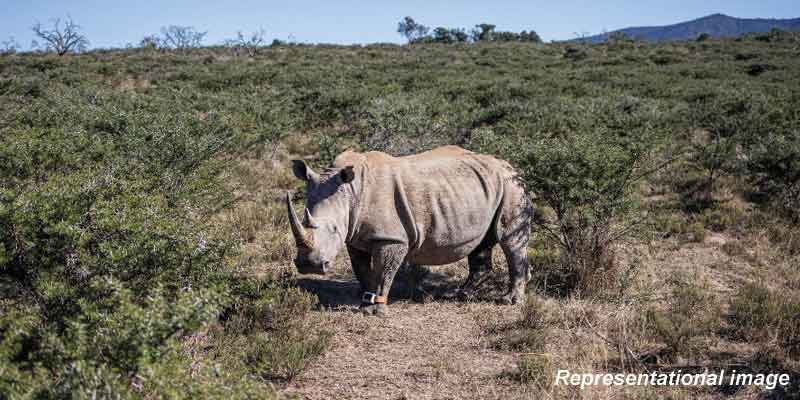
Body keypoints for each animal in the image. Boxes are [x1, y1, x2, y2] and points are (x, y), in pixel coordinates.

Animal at [286, 145, 532, 315]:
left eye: (335, 228)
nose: (309, 266)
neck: (350, 192)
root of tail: (511, 166)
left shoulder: (391, 238)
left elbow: (383, 273)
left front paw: (376, 311)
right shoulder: (354, 236)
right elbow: (363, 271)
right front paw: (365, 304)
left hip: (512, 186)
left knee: (510, 240)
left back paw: (509, 301)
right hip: (483, 189)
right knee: (481, 243)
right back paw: (461, 293)